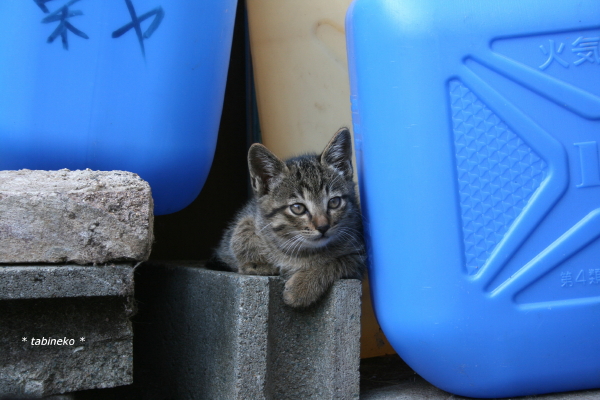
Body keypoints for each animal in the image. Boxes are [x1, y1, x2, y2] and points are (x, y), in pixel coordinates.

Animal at [216, 127, 366, 306]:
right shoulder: (249, 216)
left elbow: (334, 262)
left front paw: (301, 288)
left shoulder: (360, 257)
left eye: (334, 202)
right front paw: (257, 262)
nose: (323, 227)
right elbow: (241, 230)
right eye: (298, 208)